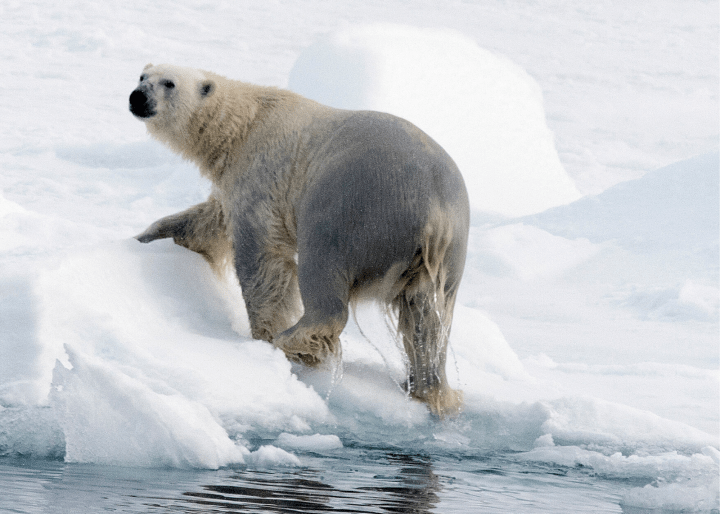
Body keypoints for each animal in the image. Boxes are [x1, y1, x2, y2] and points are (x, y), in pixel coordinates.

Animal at [129, 63, 470, 417]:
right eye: (142, 77)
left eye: (169, 83)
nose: (137, 98)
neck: (245, 125)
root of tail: (434, 212)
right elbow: (206, 222)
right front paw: (145, 237)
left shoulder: (261, 178)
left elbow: (261, 258)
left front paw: (263, 334)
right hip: (450, 253)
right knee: (427, 318)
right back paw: (430, 388)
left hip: (353, 211)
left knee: (324, 275)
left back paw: (293, 341)